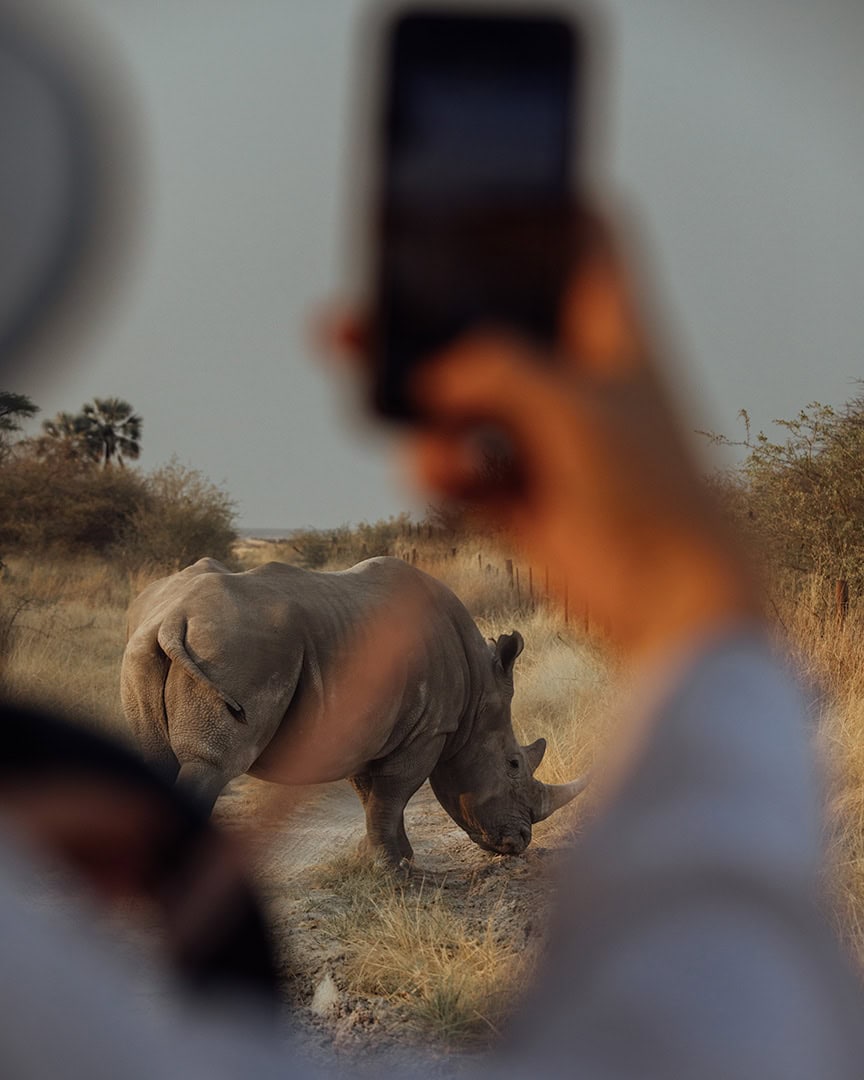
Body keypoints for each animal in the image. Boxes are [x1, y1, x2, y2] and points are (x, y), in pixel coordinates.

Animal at [121, 556, 587, 867]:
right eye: (513, 764)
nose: (520, 842)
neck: (475, 698)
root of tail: (174, 617)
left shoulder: (368, 728)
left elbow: (373, 796)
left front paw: (391, 860)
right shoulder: (430, 729)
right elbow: (394, 793)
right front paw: (392, 871)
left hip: (150, 644)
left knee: (157, 760)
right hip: (237, 647)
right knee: (213, 766)